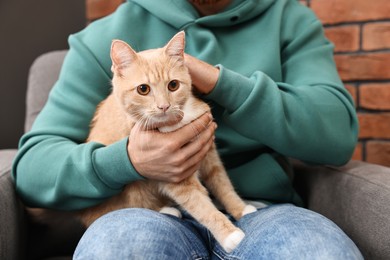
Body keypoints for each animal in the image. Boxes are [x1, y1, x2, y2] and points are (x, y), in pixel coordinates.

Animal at [82, 31, 256, 252]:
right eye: (143, 89)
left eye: (173, 85)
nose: (163, 106)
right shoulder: (174, 175)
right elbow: (202, 206)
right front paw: (230, 235)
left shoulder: (210, 155)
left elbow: (223, 184)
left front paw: (240, 209)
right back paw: (166, 210)